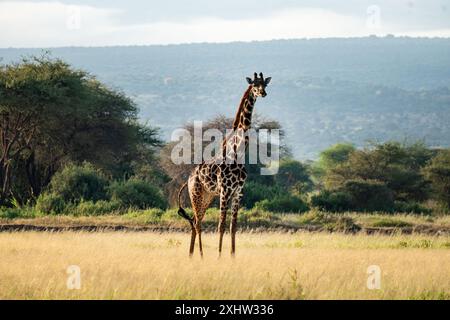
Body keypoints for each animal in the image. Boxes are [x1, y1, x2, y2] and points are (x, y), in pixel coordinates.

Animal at [178, 72, 270, 258]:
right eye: (254, 85)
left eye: (265, 84)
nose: (263, 93)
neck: (237, 153)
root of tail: (188, 179)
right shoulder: (225, 191)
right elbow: (221, 226)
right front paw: (219, 257)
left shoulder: (238, 193)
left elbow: (233, 227)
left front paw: (233, 257)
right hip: (196, 195)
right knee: (197, 223)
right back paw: (201, 256)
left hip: (206, 197)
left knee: (195, 221)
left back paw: (191, 255)